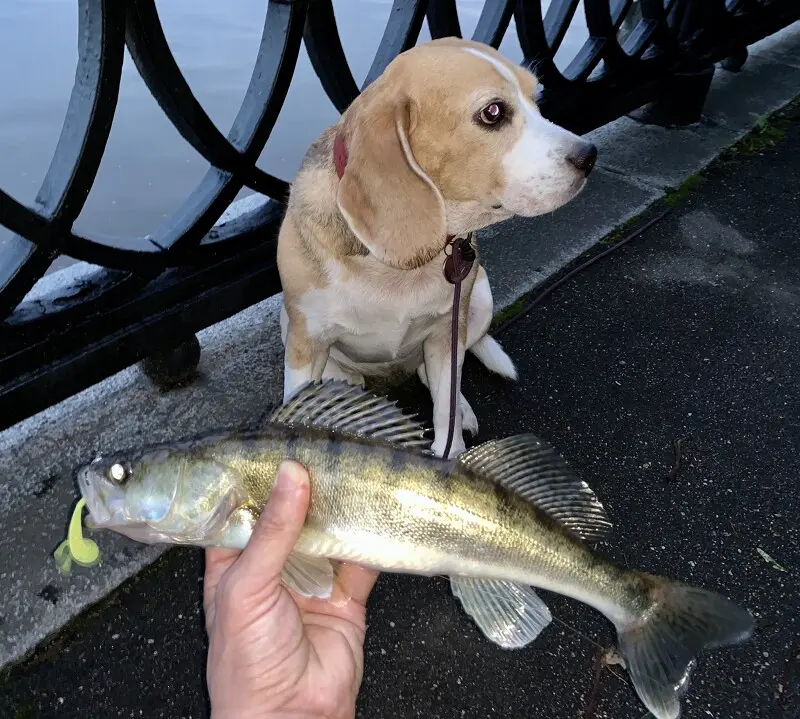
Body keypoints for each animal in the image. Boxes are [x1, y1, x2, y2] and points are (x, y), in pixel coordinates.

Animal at [276, 38, 592, 456]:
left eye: (536, 97)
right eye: (493, 112)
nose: (589, 156)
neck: (394, 268)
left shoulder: (445, 332)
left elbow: (445, 408)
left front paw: (452, 454)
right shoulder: (305, 344)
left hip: (479, 298)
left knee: (439, 379)